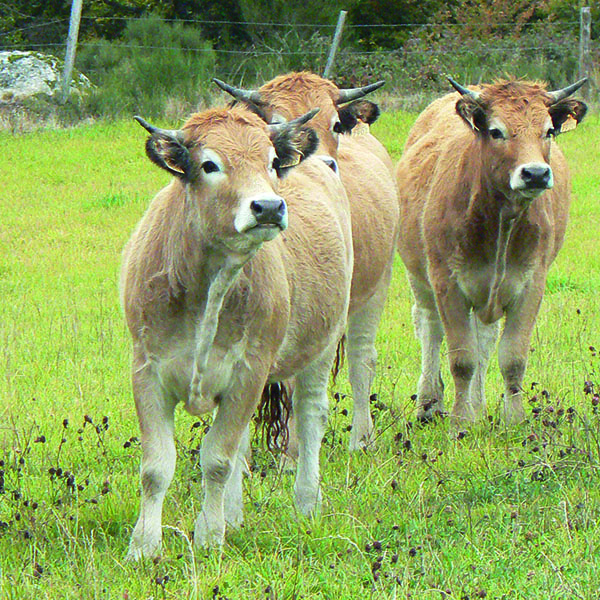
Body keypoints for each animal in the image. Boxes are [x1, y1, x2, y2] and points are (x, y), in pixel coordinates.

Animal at [123, 105, 356, 560]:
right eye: (209, 164)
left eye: (270, 162)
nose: (268, 206)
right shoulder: (147, 369)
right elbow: (156, 467)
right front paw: (143, 546)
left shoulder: (250, 370)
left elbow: (217, 459)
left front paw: (209, 536)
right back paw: (232, 514)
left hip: (322, 345)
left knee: (309, 417)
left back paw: (306, 501)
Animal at [213, 70, 400, 450]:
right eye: (277, 122)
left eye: (336, 124)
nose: (324, 164)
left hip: (375, 289)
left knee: (361, 358)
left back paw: (361, 437)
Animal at [396, 77, 588, 424]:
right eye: (496, 131)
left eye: (548, 131)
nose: (535, 173)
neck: (502, 223)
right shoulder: (447, 284)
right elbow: (462, 359)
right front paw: (460, 421)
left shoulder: (530, 284)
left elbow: (512, 357)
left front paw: (513, 419)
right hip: (419, 277)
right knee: (429, 328)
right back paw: (430, 403)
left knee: (484, 340)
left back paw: (478, 405)